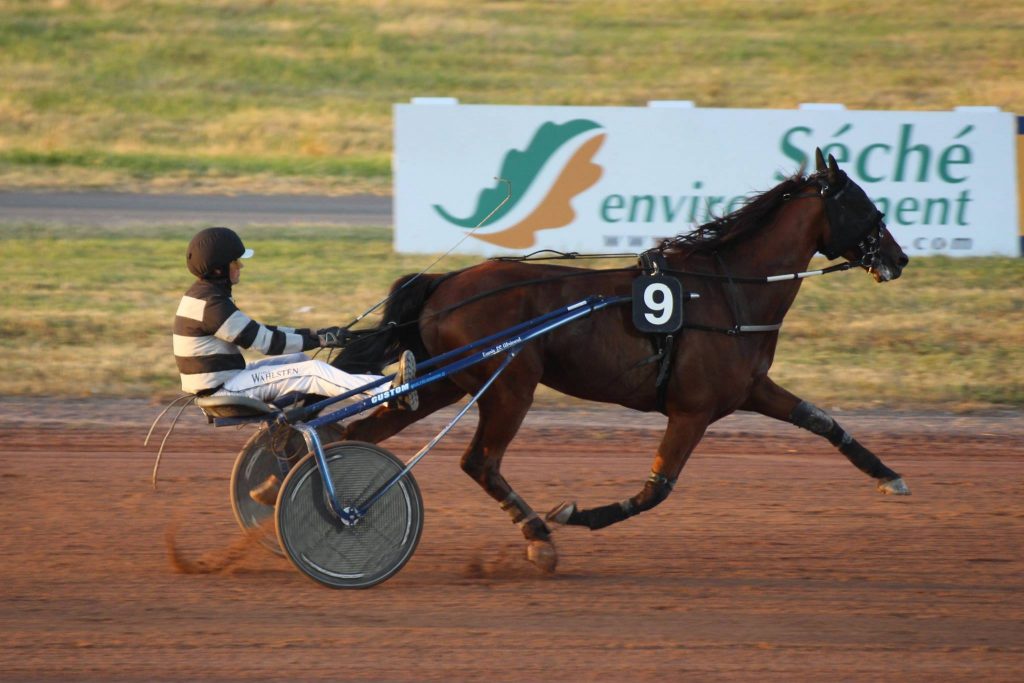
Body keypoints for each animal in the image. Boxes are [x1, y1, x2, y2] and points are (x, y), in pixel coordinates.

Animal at [335, 152, 913, 573]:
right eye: (866, 206)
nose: (900, 257)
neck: (727, 291)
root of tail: (447, 283)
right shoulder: (692, 411)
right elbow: (657, 490)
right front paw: (575, 515)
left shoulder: (750, 389)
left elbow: (823, 421)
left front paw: (889, 475)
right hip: (509, 386)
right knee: (479, 461)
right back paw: (538, 535)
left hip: (447, 382)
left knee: (361, 433)